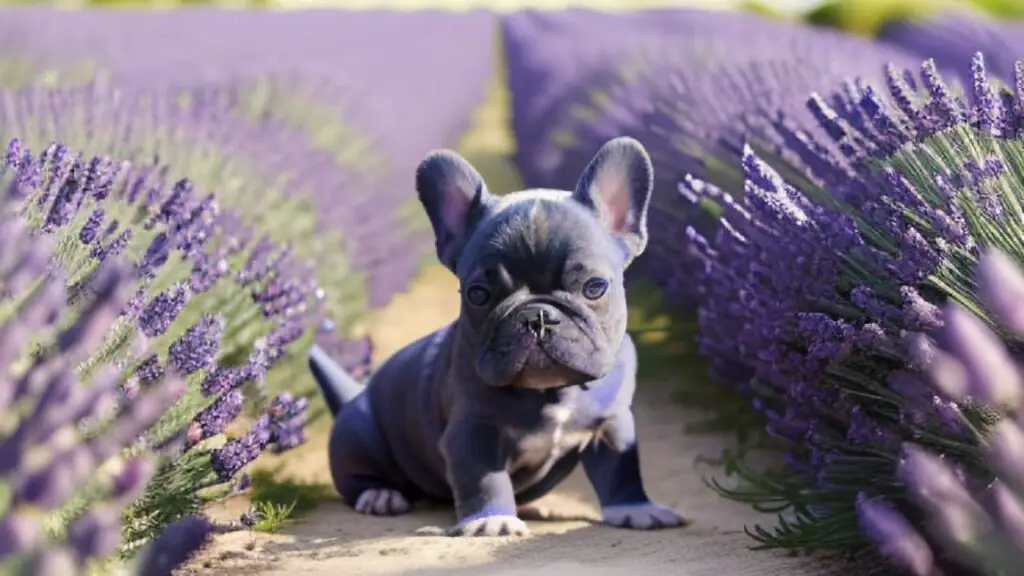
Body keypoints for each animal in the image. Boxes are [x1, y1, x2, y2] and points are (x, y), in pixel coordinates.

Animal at [305, 136, 688, 537]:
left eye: (594, 287)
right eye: (478, 294)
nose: (537, 315)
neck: (551, 393)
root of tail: (352, 397)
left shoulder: (612, 426)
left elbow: (621, 471)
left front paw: (636, 508)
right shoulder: (472, 431)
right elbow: (484, 478)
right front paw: (492, 521)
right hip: (360, 432)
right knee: (357, 478)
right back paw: (380, 495)